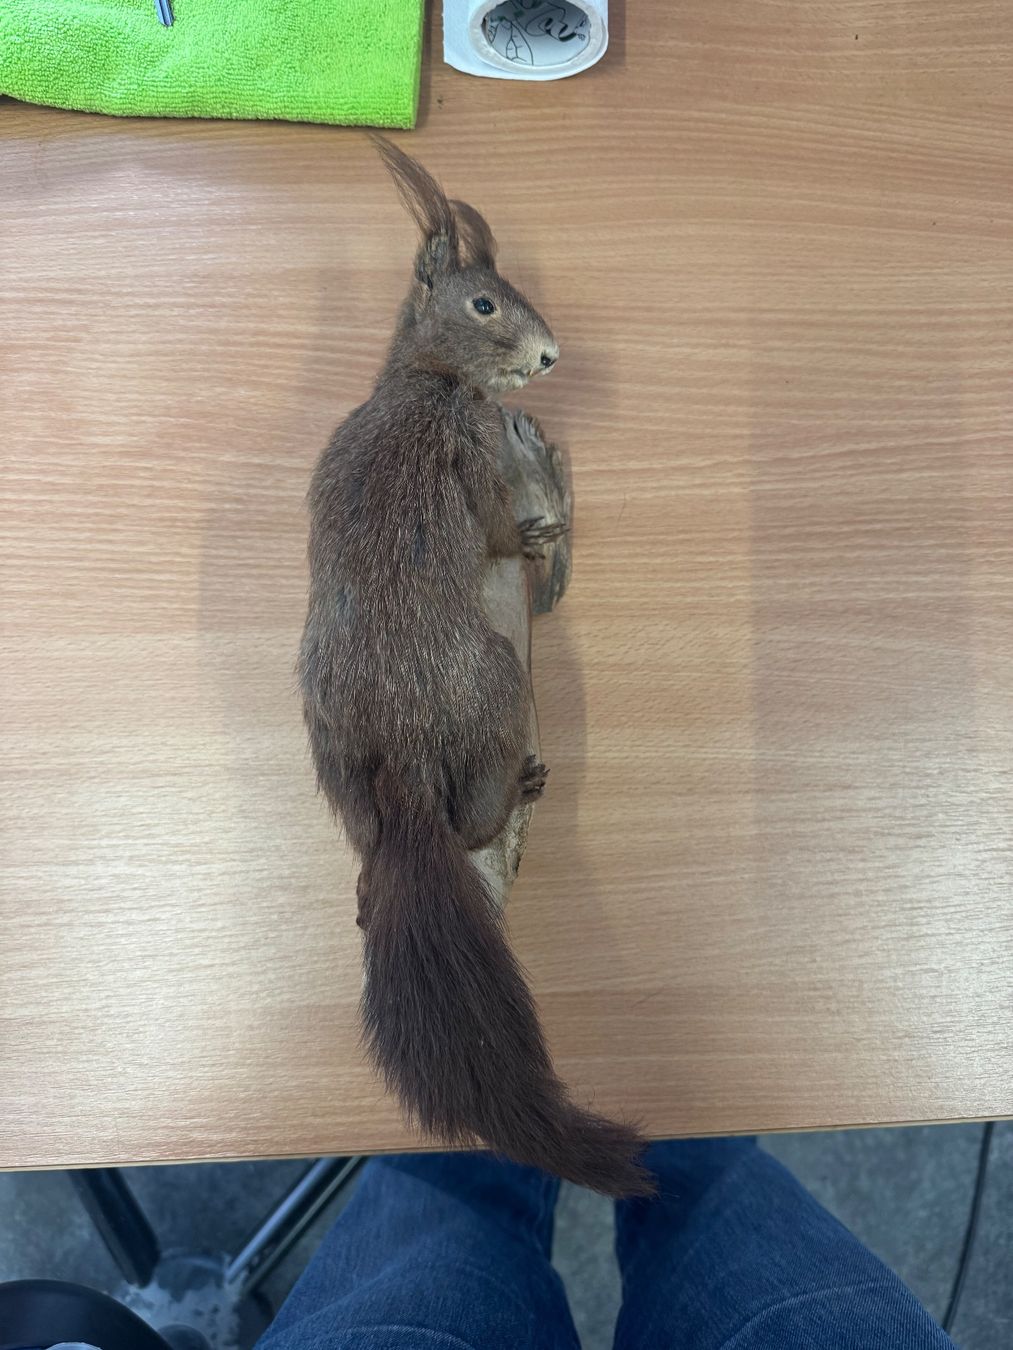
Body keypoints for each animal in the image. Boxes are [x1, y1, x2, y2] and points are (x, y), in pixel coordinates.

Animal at [298, 138, 651, 1198]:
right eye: (487, 303)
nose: (550, 356)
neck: (421, 380)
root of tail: (401, 771)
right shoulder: (470, 455)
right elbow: (499, 522)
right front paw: (533, 533)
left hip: (339, 778)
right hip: (499, 682)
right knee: (473, 818)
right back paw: (517, 789)